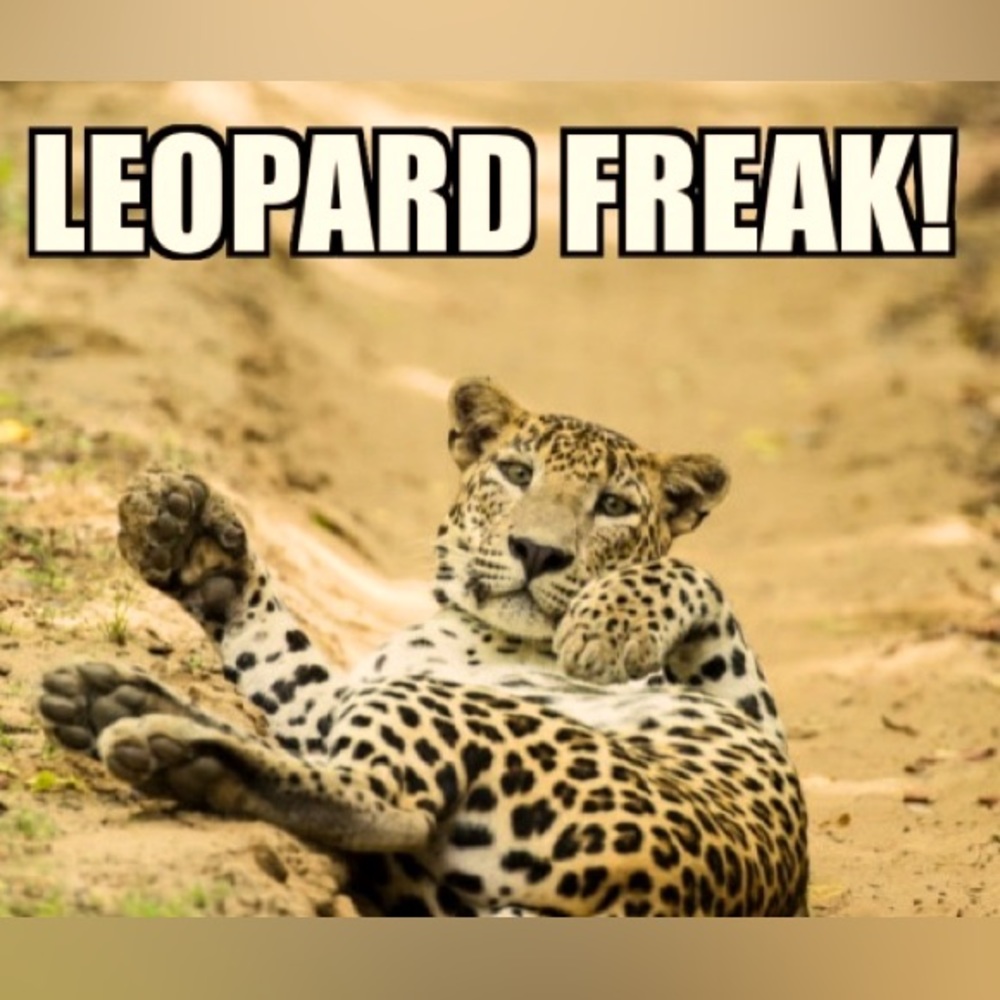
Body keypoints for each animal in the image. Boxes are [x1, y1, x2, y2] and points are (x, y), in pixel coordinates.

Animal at [38, 377, 809, 917]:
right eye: (517, 473)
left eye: (613, 507)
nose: (538, 552)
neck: (485, 631)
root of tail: (653, 893)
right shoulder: (322, 702)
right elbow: (274, 646)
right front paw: (185, 537)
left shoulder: (753, 717)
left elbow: (695, 575)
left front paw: (606, 630)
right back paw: (111, 702)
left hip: (444, 714)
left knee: (389, 803)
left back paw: (164, 746)